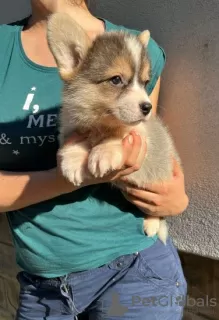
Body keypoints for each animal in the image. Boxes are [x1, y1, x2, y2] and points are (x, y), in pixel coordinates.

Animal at [46, 11, 181, 242]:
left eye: (145, 82)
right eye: (116, 80)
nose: (147, 107)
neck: (99, 122)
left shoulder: (138, 134)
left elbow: (118, 135)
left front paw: (103, 152)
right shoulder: (70, 129)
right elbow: (74, 143)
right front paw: (72, 162)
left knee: (159, 212)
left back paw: (152, 224)